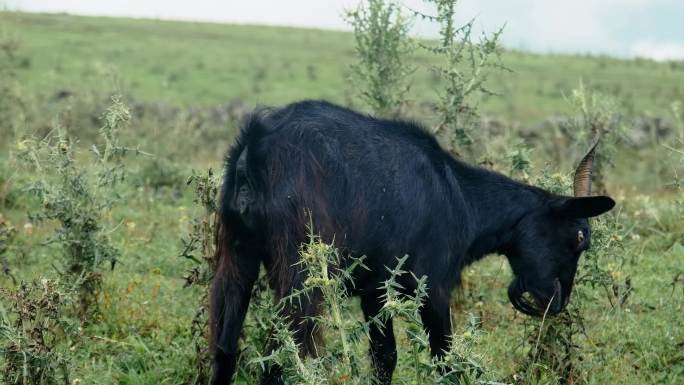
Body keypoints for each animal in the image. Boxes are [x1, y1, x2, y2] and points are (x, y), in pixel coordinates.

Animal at [208, 100, 616, 382]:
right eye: (579, 236)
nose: (557, 302)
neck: (460, 197)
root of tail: (255, 147)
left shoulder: (374, 291)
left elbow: (385, 358)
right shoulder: (432, 286)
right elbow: (444, 359)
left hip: (235, 256)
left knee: (225, 349)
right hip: (301, 275)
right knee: (280, 358)